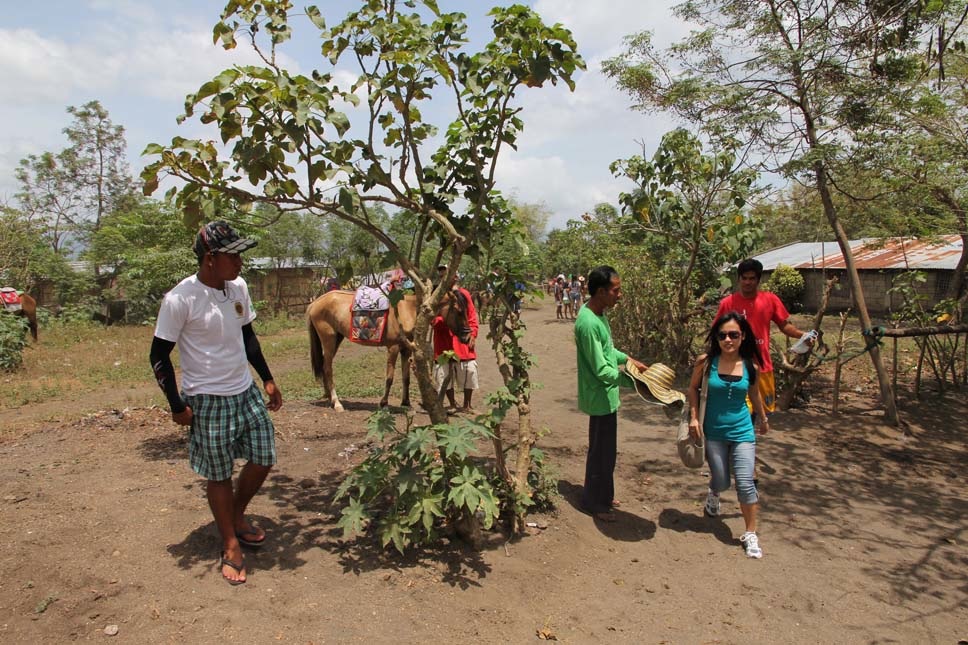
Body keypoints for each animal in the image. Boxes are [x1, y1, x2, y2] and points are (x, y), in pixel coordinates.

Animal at [308, 290, 470, 410]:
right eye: (459, 311)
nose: (467, 337)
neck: (408, 310)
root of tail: (315, 302)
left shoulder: (406, 350)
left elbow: (406, 378)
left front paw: (406, 403)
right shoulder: (393, 348)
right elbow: (390, 377)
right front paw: (384, 403)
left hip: (336, 339)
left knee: (325, 366)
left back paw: (329, 397)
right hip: (328, 340)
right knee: (328, 369)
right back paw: (337, 403)